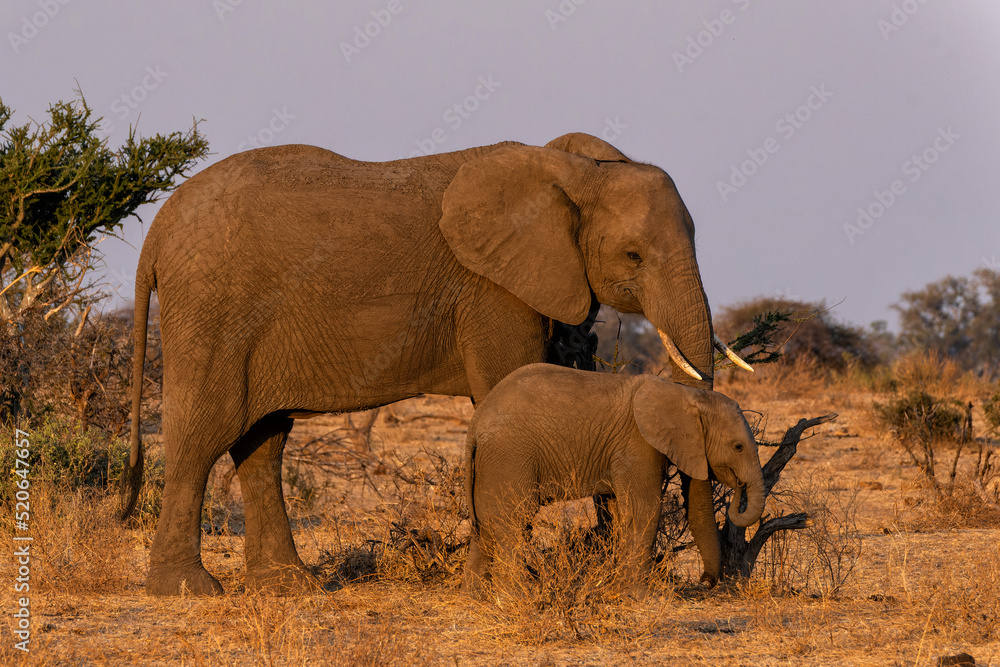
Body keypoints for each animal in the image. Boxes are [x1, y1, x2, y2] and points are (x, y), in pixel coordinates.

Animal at [462, 364, 764, 596]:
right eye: (738, 447)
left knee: (485, 525)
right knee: (513, 521)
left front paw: (619, 587)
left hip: (492, 463)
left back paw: (477, 596)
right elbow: (644, 510)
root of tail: (475, 424)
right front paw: (640, 595)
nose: (705, 581)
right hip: (510, 456)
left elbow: (620, 511)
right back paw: (519, 595)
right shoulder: (638, 444)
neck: (688, 395)